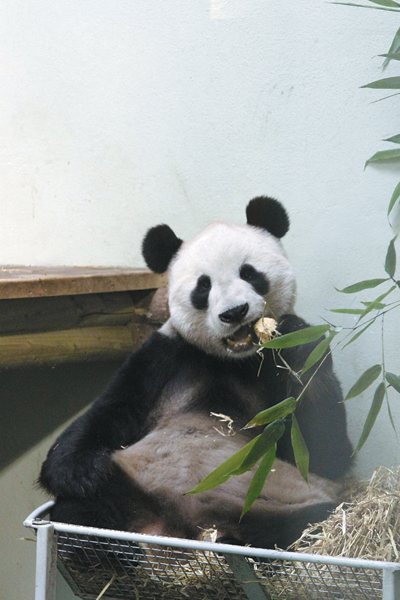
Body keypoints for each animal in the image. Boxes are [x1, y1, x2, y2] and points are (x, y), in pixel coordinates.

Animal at [39, 196, 354, 548]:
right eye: (203, 286)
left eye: (249, 272)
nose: (234, 312)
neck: (232, 359)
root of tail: (176, 528)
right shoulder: (165, 356)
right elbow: (108, 412)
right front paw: (82, 473)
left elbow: (324, 452)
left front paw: (294, 338)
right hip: (129, 485)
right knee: (82, 511)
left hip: (275, 503)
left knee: (299, 527)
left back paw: (233, 544)